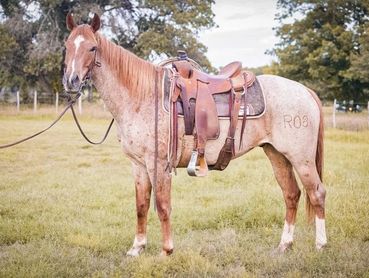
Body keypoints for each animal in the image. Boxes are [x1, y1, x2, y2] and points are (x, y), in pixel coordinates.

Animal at [64, 13, 328, 256]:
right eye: (67, 45)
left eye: (92, 47)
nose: (71, 81)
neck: (142, 95)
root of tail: (305, 91)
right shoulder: (138, 165)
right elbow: (141, 205)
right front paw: (136, 248)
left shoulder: (158, 164)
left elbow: (162, 206)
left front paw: (166, 251)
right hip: (277, 155)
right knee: (291, 194)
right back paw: (284, 245)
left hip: (301, 159)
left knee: (317, 193)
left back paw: (320, 245)